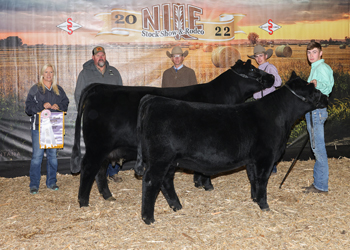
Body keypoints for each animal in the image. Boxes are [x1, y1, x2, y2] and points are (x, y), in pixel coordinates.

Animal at [69, 59, 274, 207]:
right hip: (97, 145)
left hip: (107, 148)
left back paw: (107, 196)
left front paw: (199, 183)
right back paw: (83, 202)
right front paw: (207, 185)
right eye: (253, 70)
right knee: (89, 168)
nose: (272, 77)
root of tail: (100, 87)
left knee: (100, 170)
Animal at [136, 72, 328, 225]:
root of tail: (153, 100)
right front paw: (264, 205)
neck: (279, 116)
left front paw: (255, 199)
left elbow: (253, 179)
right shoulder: (265, 157)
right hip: (160, 159)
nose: (326, 97)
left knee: (166, 181)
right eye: (313, 89)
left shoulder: (252, 160)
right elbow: (262, 180)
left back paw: (177, 206)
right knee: (151, 181)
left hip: (170, 160)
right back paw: (148, 218)